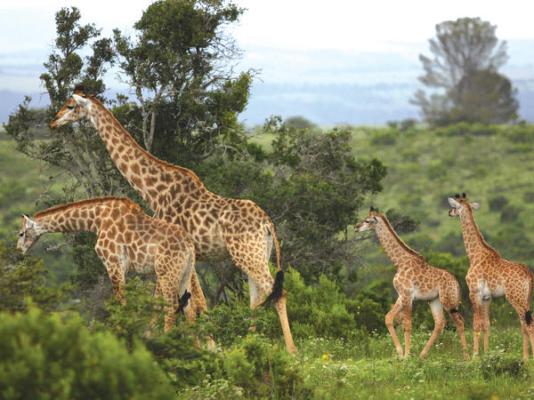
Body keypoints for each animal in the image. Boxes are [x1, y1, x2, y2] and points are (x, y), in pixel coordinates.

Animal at [16, 197, 197, 332]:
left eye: (21, 233)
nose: (18, 252)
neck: (97, 219)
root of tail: (189, 245)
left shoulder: (113, 263)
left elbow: (121, 302)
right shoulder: (124, 269)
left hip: (166, 272)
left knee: (171, 306)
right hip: (185, 272)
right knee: (190, 310)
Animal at [49, 85, 298, 354]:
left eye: (71, 105)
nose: (53, 121)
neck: (155, 191)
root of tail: (268, 224)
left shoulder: (173, 252)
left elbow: (170, 297)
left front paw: (165, 338)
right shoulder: (189, 255)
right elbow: (195, 299)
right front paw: (206, 343)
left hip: (248, 254)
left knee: (276, 292)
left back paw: (291, 351)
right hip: (255, 254)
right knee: (257, 296)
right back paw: (248, 344)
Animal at [360, 206, 468, 360]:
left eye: (367, 220)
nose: (356, 227)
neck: (399, 262)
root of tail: (457, 283)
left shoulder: (407, 295)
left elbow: (407, 324)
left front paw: (406, 356)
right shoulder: (402, 295)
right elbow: (388, 318)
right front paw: (400, 353)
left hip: (448, 300)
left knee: (459, 321)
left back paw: (468, 357)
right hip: (434, 300)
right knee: (440, 323)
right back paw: (422, 355)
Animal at [448, 193, 534, 360]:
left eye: (454, 206)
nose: (449, 213)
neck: (474, 255)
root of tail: (529, 274)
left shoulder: (474, 292)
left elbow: (476, 324)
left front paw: (475, 356)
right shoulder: (487, 296)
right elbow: (486, 324)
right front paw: (487, 354)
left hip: (515, 297)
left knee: (529, 323)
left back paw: (528, 359)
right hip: (526, 296)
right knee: (524, 324)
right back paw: (525, 357)